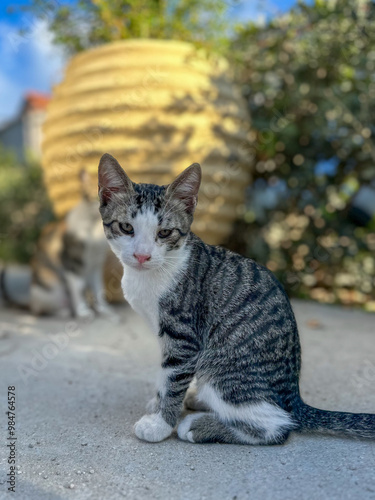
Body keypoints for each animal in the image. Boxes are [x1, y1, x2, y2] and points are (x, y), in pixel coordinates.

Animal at [97, 153, 375, 446]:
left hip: (222, 366)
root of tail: (292, 398)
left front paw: (161, 423)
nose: (142, 255)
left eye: (164, 233)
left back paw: (199, 425)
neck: (151, 274)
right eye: (126, 227)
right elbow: (166, 376)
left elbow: (173, 378)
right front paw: (158, 402)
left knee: (276, 426)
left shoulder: (184, 337)